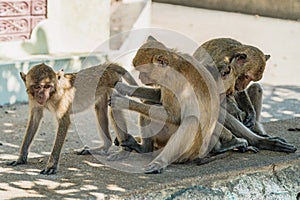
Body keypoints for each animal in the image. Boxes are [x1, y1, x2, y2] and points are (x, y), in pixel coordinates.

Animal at [7, 63, 138, 175]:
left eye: (47, 86)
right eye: (37, 87)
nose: (41, 95)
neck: (52, 94)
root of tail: (106, 66)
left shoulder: (61, 100)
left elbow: (63, 122)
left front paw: (51, 165)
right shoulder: (33, 99)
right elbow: (34, 119)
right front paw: (21, 158)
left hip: (114, 82)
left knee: (114, 108)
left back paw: (124, 152)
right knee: (100, 108)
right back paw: (104, 146)